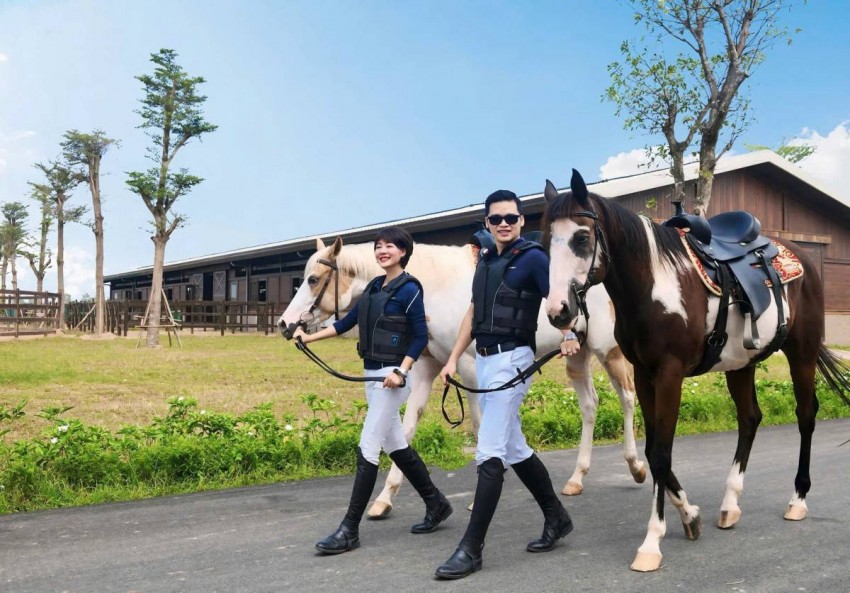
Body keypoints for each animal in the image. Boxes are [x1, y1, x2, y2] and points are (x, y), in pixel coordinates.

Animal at [278, 236, 647, 518]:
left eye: (313, 280)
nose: (285, 324)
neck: (437, 290)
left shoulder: (470, 370)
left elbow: (481, 426)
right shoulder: (425, 370)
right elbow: (408, 426)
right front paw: (384, 499)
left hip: (607, 349)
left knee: (627, 397)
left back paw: (636, 466)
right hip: (578, 354)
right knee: (590, 406)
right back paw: (576, 479)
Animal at [542, 169, 850, 572]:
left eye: (581, 237)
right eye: (546, 241)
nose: (558, 311)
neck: (653, 285)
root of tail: (802, 260)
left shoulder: (669, 374)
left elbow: (661, 453)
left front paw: (652, 542)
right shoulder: (644, 374)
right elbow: (655, 448)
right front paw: (689, 514)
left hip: (802, 352)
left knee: (805, 415)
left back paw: (797, 499)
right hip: (740, 365)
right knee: (750, 418)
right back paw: (730, 504)